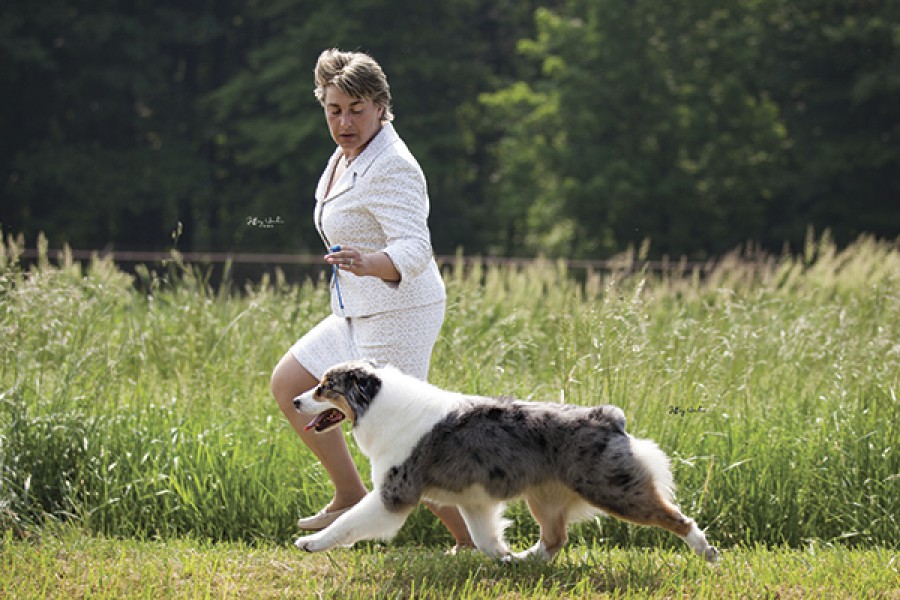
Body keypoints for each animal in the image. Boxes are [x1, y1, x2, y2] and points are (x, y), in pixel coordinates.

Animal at [294, 360, 716, 564]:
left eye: (324, 387)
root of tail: (609, 417)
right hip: (545, 497)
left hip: (612, 489)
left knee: (676, 517)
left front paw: (310, 542)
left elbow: (347, 522)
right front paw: (505, 560)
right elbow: (485, 540)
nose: (296, 401)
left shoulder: (393, 495)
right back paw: (526, 561)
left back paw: (706, 551)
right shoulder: (473, 500)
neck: (379, 403)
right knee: (554, 539)